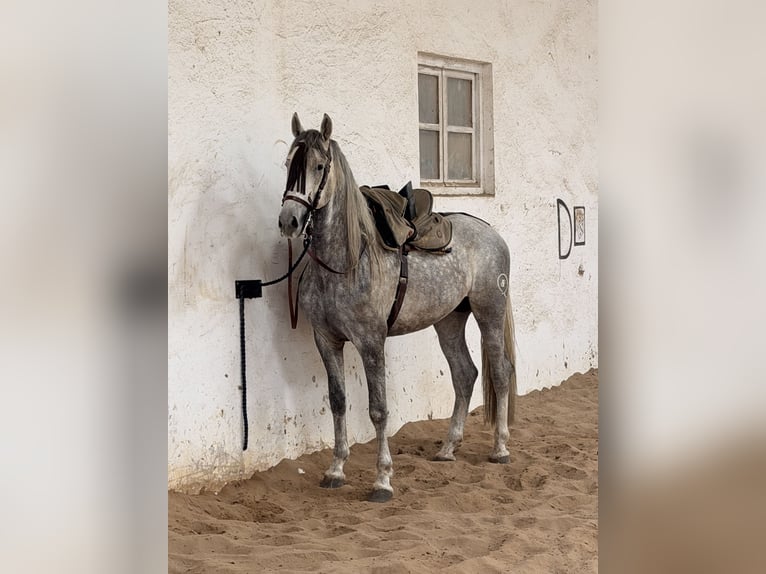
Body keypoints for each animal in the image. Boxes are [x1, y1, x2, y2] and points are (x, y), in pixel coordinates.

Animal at [277, 113, 517, 502]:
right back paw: (448, 449)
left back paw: (500, 449)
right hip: (449, 321)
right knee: (465, 374)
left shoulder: (371, 342)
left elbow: (378, 409)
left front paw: (382, 480)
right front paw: (335, 469)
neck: (345, 262)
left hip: (489, 314)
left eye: (319, 166)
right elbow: (338, 400)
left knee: (499, 372)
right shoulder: (326, 340)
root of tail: (491, 231)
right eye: (287, 164)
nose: (289, 221)